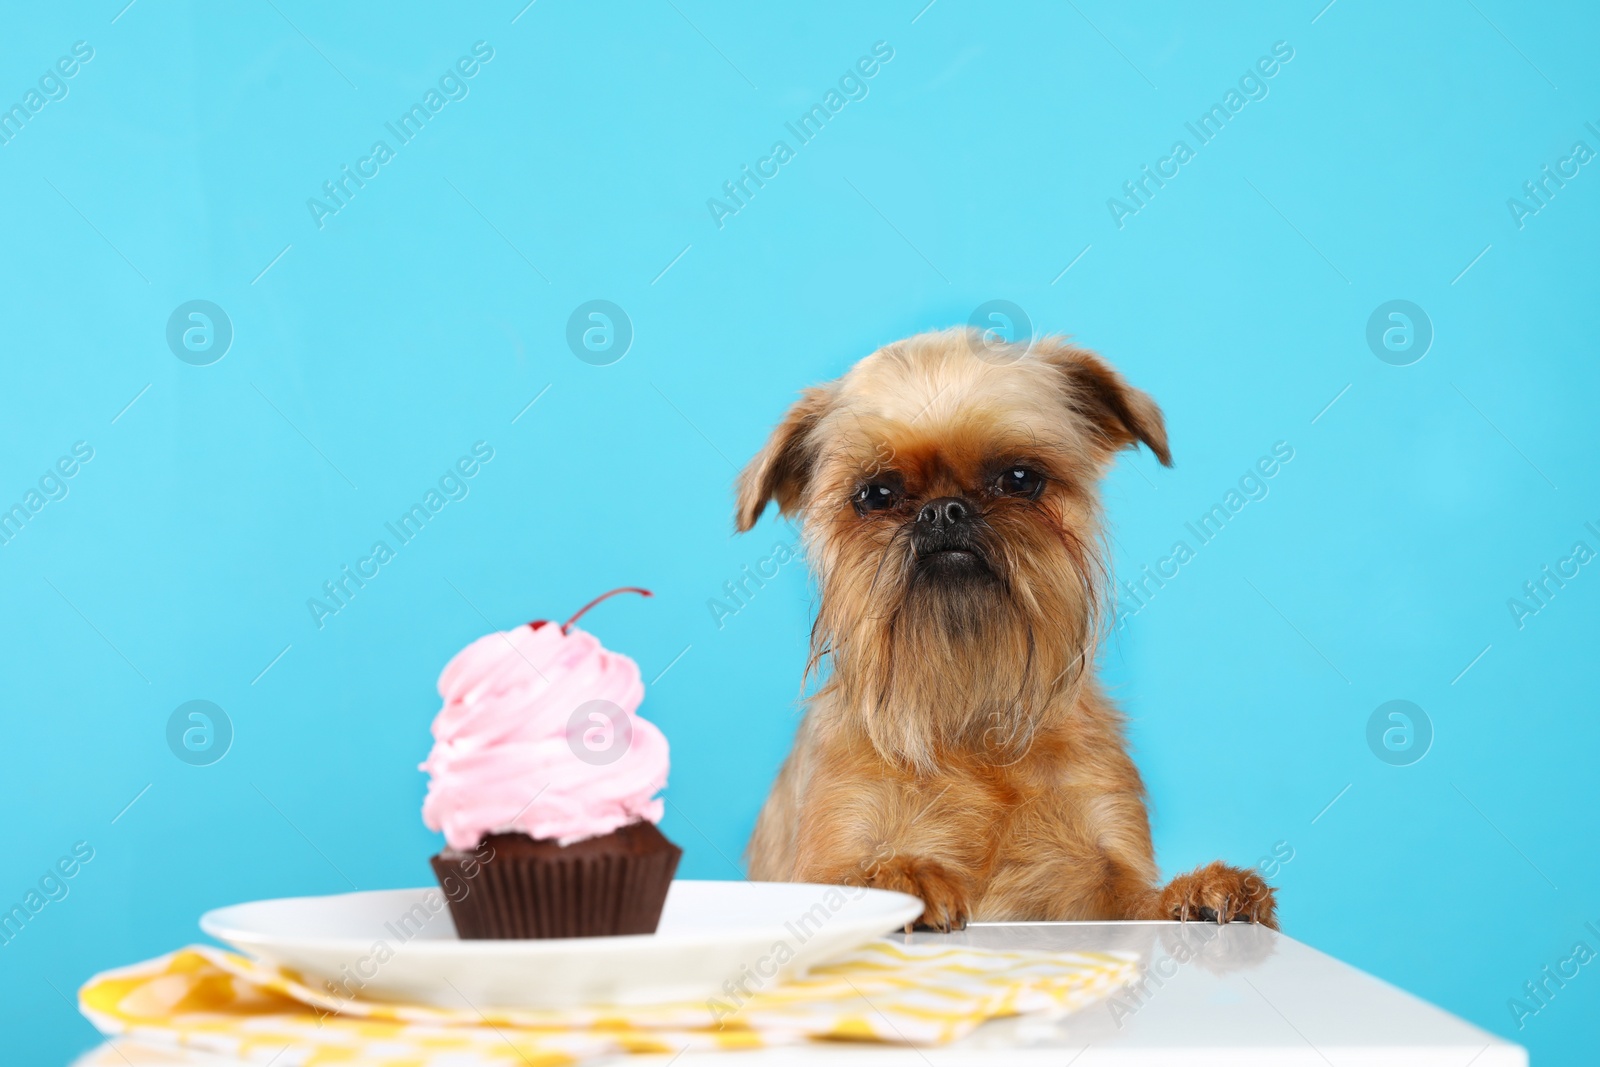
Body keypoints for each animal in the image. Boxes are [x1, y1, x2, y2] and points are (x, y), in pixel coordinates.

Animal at [732, 329, 1273, 927]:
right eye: (874, 495)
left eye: (1020, 479)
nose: (943, 510)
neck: (970, 719)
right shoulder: (831, 850)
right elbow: (851, 881)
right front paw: (905, 877)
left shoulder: (1101, 882)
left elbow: (1141, 906)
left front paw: (1200, 889)